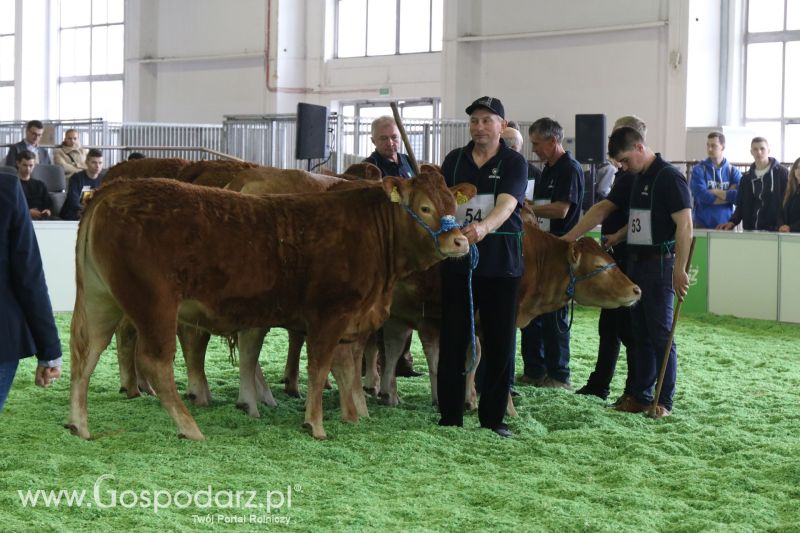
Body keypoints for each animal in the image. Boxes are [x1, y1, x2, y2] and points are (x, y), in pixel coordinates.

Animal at [67, 171, 476, 440]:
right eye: (425, 207)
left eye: (452, 204)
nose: (459, 241)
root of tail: (112, 189)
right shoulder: (329, 315)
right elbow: (319, 367)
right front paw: (316, 424)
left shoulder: (352, 322)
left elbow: (346, 370)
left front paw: (355, 415)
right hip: (155, 303)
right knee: (155, 362)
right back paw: (189, 427)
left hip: (102, 299)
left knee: (85, 355)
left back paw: (79, 424)